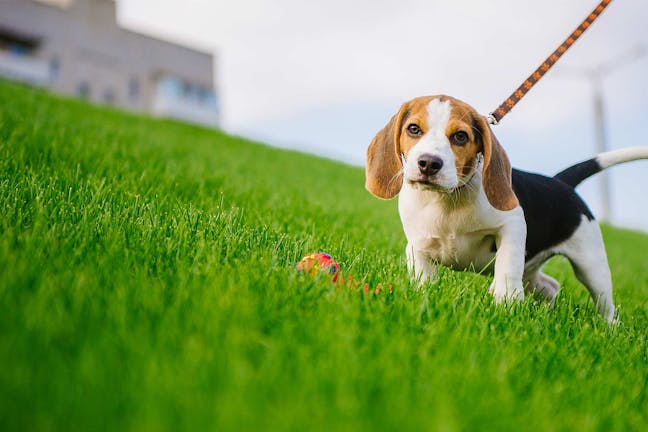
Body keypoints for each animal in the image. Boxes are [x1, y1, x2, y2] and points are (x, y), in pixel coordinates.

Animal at [364, 95, 648, 324]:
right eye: (413, 129)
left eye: (460, 136)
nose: (429, 163)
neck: (447, 201)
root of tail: (560, 182)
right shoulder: (416, 246)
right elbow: (423, 276)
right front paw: (425, 296)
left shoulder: (512, 225)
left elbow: (507, 265)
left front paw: (504, 300)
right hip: (533, 270)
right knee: (550, 285)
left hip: (590, 263)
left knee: (605, 304)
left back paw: (609, 329)